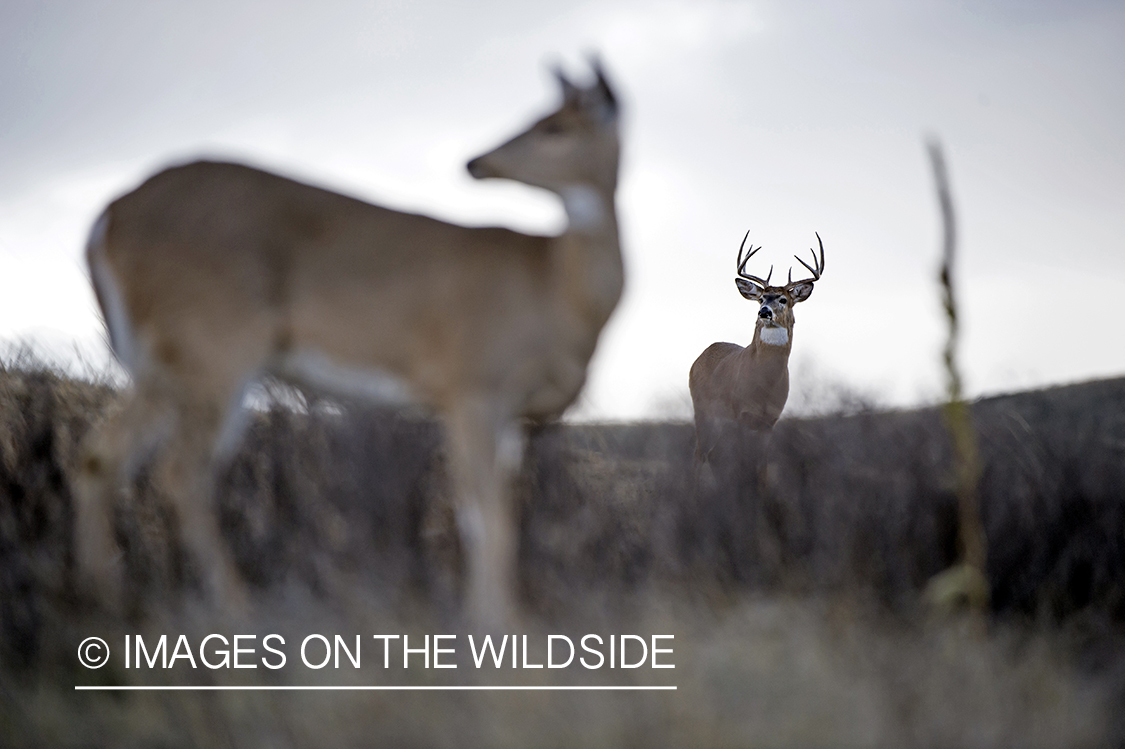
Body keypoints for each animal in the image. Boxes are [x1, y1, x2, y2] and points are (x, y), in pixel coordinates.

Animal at [74, 59, 625, 625]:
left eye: (554, 126)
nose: (477, 162)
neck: (552, 285)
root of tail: (103, 223)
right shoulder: (472, 383)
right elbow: (483, 511)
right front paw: (496, 622)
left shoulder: (508, 412)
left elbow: (497, 510)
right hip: (214, 345)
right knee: (180, 472)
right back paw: (236, 608)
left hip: (163, 361)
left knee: (99, 455)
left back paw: (107, 599)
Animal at [684, 230, 828, 472]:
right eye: (761, 298)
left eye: (783, 299)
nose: (764, 312)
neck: (764, 383)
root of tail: (700, 357)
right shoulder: (742, 414)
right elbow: (744, 463)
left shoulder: (769, 421)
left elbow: (760, 466)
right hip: (704, 410)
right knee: (699, 453)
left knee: (712, 454)